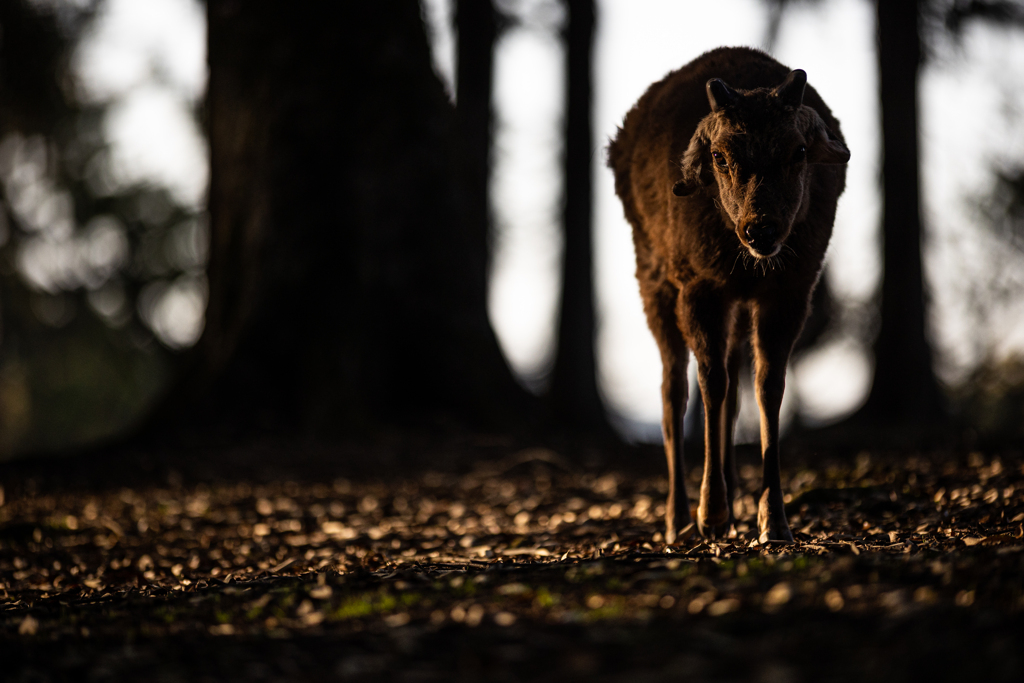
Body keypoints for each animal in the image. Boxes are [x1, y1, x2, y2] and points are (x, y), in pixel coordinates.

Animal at [606, 48, 847, 544]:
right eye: (719, 156)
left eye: (798, 151)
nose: (761, 229)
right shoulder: (700, 284)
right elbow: (709, 382)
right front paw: (711, 512)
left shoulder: (792, 287)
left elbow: (768, 386)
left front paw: (773, 519)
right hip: (652, 275)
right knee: (673, 388)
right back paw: (678, 518)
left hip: (735, 304)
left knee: (734, 387)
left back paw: (732, 498)